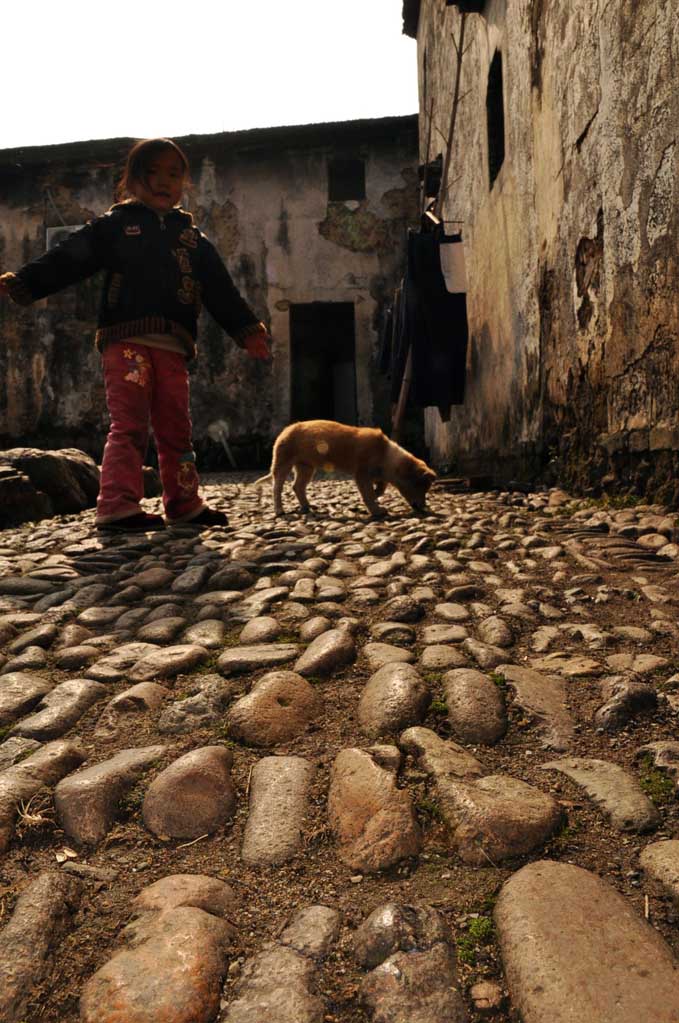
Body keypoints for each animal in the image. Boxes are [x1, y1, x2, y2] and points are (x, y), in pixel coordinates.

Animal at [253, 419, 435, 515]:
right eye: (420, 487)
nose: (424, 509)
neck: (386, 456)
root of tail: (285, 430)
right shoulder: (361, 474)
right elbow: (368, 493)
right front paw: (376, 510)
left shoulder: (378, 475)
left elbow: (379, 489)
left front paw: (374, 498)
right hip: (282, 463)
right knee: (277, 487)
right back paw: (279, 510)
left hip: (306, 467)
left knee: (297, 486)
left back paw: (307, 506)